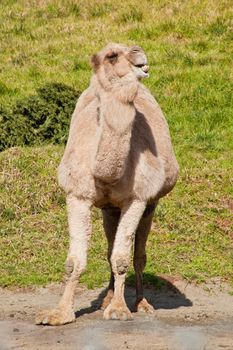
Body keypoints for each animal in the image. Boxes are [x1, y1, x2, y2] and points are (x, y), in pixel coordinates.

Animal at [35, 43, 179, 326]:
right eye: (111, 55)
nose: (138, 52)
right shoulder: (77, 194)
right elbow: (74, 260)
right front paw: (59, 313)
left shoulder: (136, 198)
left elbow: (122, 258)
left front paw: (120, 309)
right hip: (108, 208)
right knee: (110, 245)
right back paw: (107, 298)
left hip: (151, 202)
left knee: (138, 255)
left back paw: (140, 303)